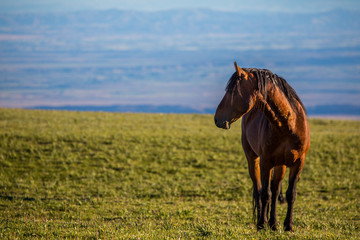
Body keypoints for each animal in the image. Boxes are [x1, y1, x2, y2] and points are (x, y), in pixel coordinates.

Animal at [214, 62, 310, 231]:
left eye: (233, 91)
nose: (216, 119)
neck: (287, 126)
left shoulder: (299, 162)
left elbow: (290, 193)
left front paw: (288, 226)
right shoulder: (266, 162)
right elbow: (265, 193)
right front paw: (261, 224)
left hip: (281, 165)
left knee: (275, 189)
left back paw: (273, 223)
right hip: (253, 159)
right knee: (259, 190)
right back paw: (264, 221)